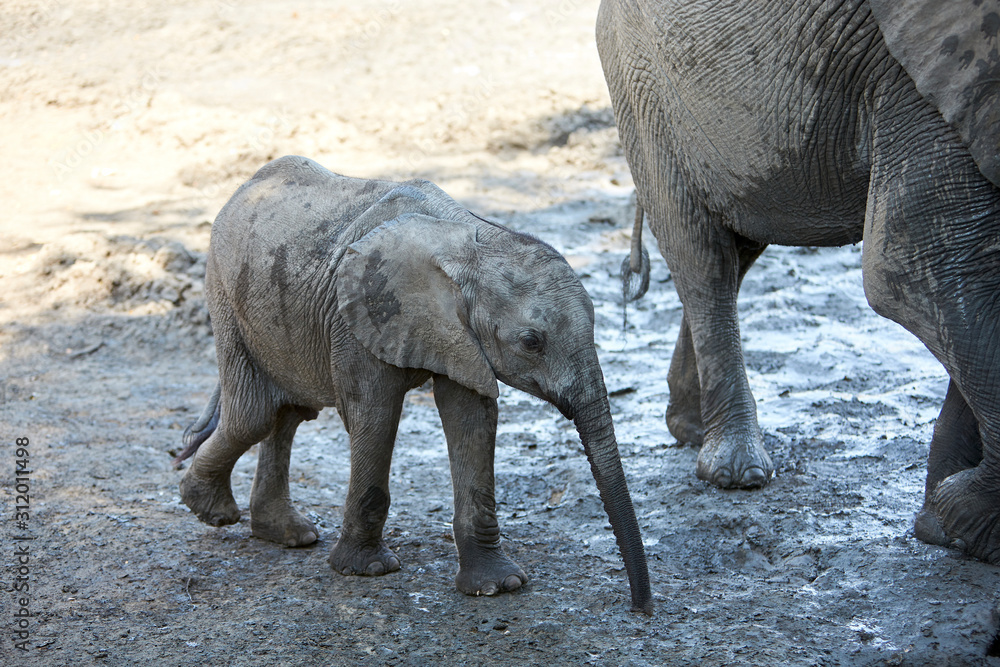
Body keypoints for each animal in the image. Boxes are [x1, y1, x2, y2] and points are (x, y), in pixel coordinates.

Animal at [174, 155, 652, 613]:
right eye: (531, 342)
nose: (641, 607)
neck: (469, 239)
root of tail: (243, 188)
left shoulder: (462, 336)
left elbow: (472, 418)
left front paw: (499, 587)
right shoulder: (358, 315)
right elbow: (375, 415)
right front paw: (367, 571)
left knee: (286, 414)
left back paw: (285, 534)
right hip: (224, 293)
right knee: (253, 415)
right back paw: (212, 511)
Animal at [597, 0, 1000, 565]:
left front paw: (944, 525)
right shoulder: (919, 79)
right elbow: (913, 274)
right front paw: (960, 518)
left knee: (738, 246)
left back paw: (690, 429)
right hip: (643, 80)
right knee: (703, 254)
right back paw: (735, 473)